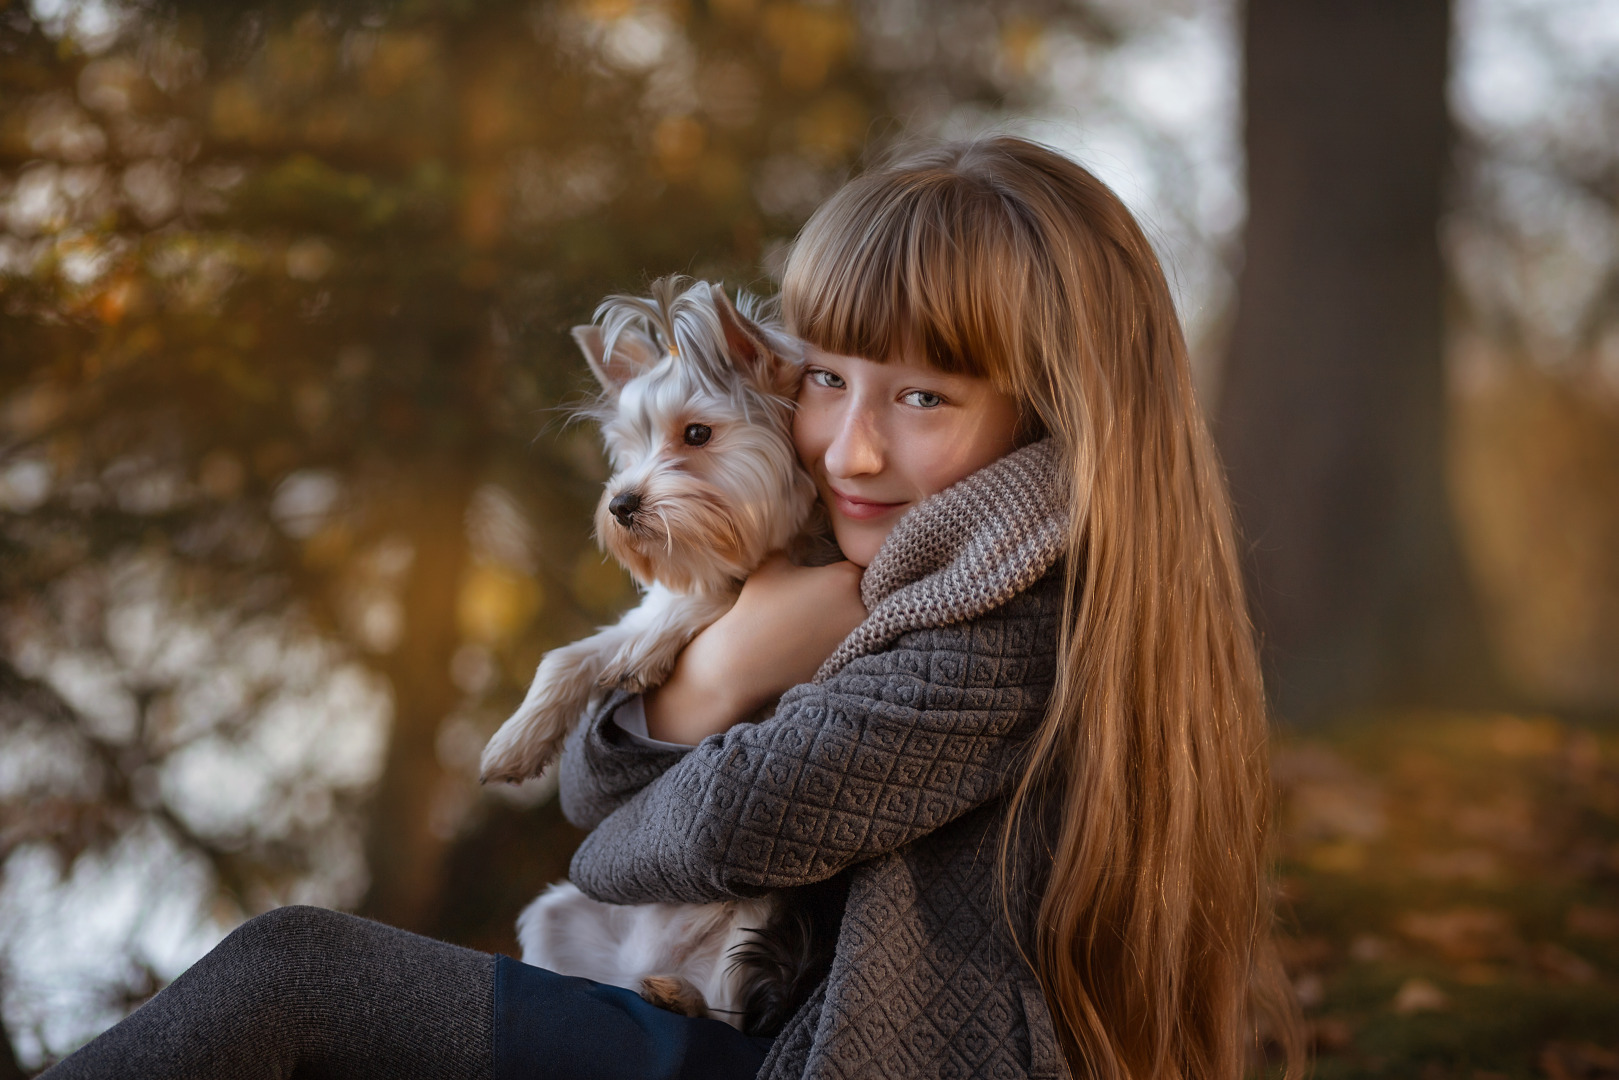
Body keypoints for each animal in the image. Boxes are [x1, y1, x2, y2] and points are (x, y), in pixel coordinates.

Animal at [479, 275, 828, 1036]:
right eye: (629, 448)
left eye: (696, 433)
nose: (622, 505)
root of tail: (647, 964)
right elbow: (571, 655)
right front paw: (517, 741)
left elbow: (697, 603)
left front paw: (648, 646)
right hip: (557, 915)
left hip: (759, 913)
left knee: (733, 1012)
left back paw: (682, 998)